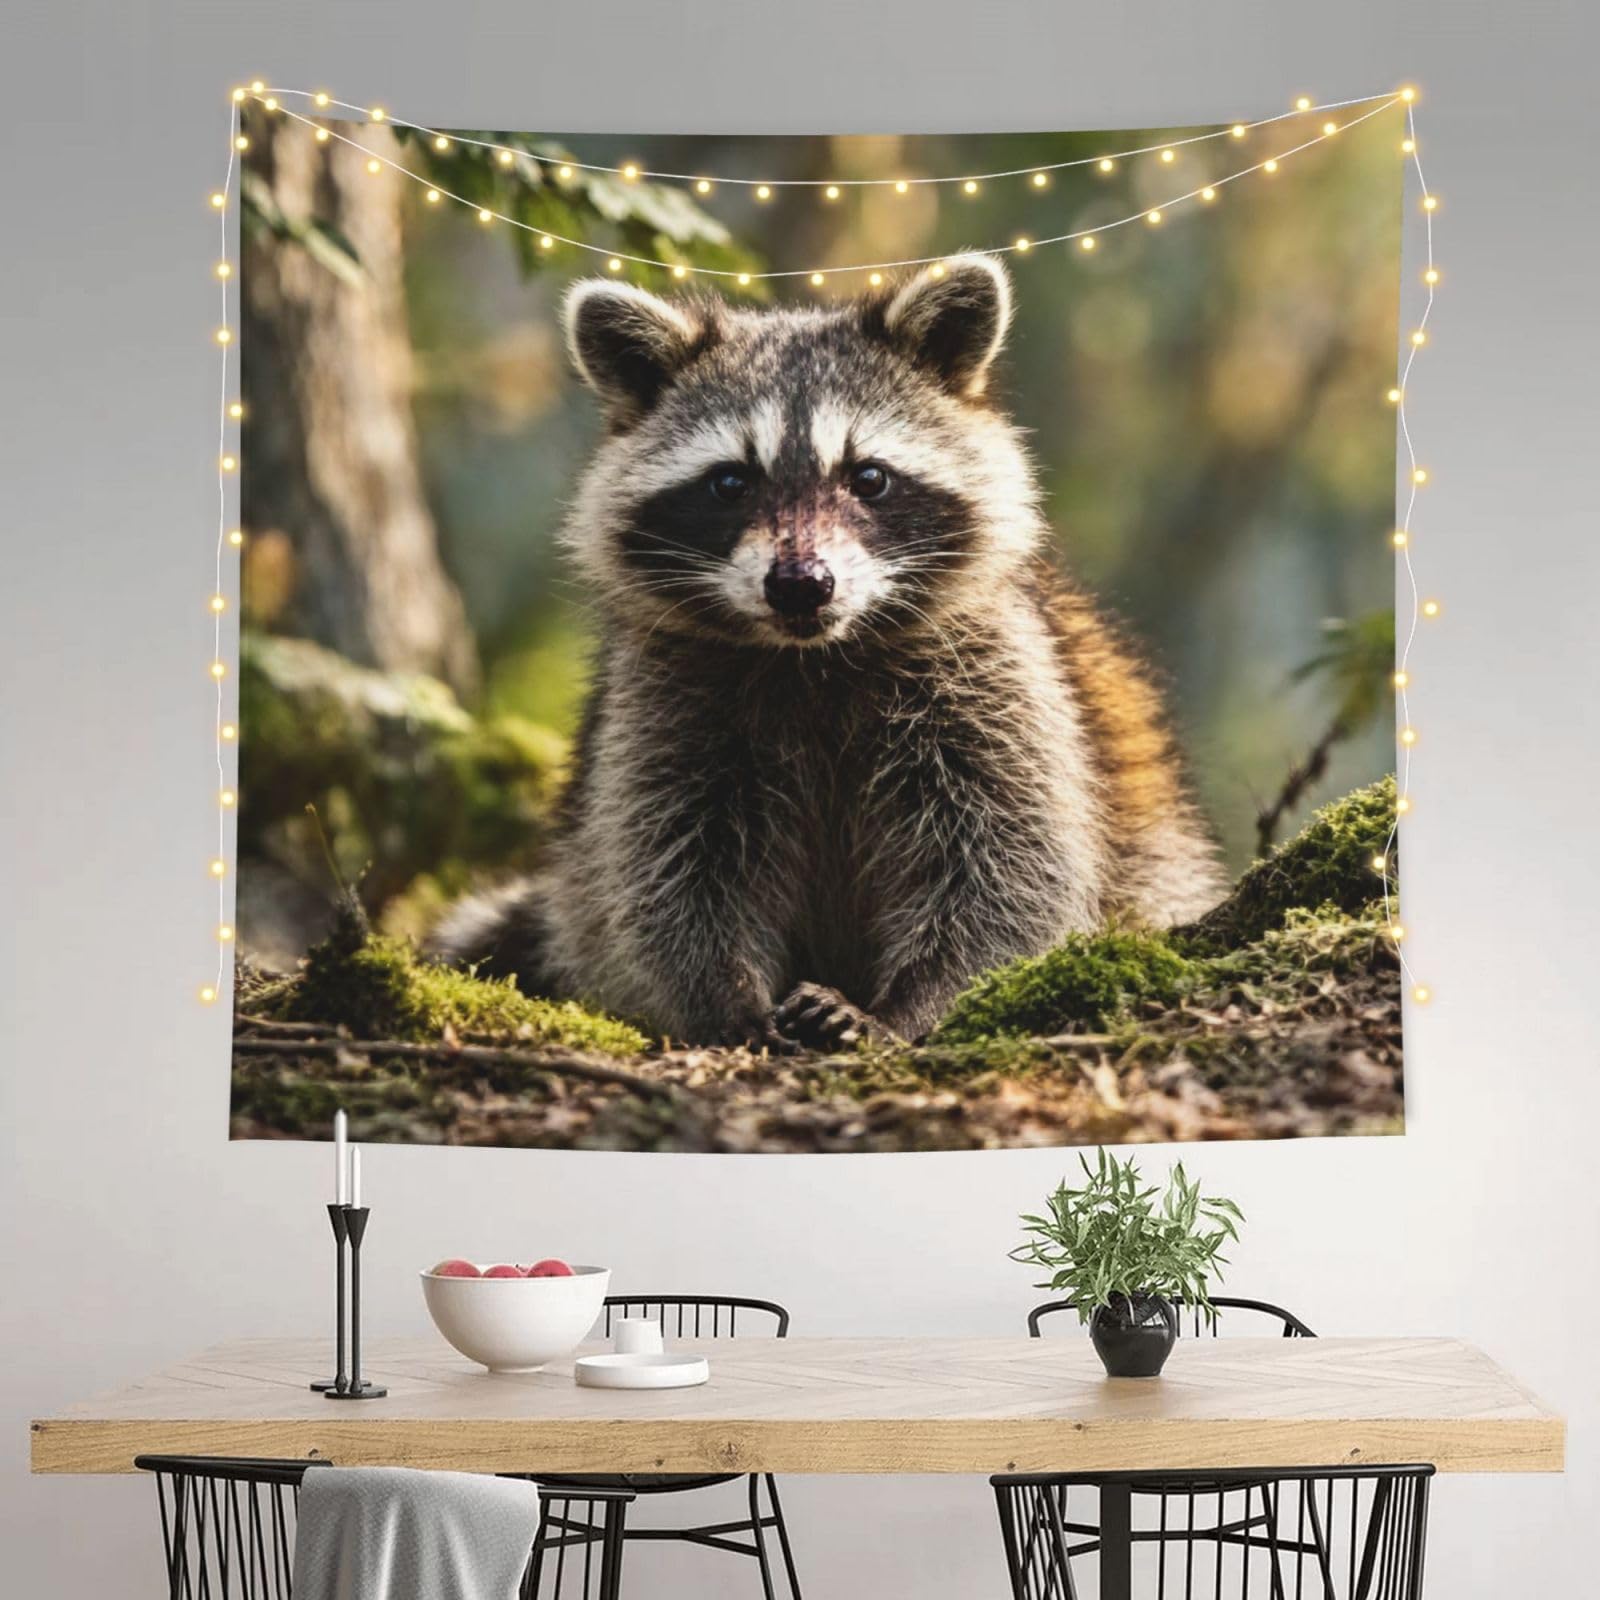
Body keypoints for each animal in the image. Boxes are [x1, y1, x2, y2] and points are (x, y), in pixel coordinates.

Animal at [433, 254, 1221, 1049]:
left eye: (868, 477)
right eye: (729, 481)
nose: (801, 585)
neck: (812, 659)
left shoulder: (996, 676)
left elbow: (1011, 866)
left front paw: (910, 1005)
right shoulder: (666, 699)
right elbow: (669, 870)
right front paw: (728, 999)